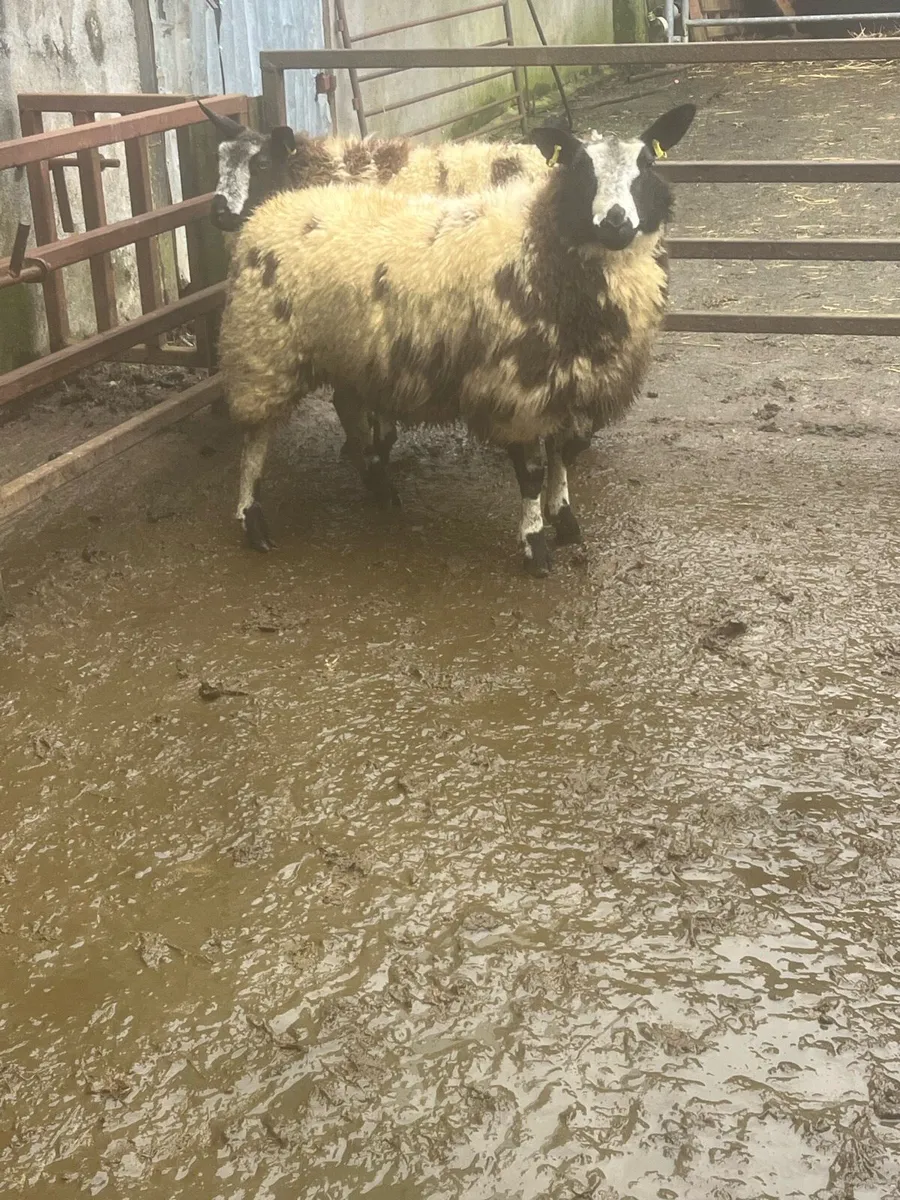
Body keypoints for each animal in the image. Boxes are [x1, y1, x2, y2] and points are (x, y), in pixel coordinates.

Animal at [219, 104, 696, 575]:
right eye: (580, 166)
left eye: (646, 165)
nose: (616, 222)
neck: (539, 241)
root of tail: (272, 209)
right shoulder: (516, 386)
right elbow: (533, 471)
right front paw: (534, 545)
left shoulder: (572, 383)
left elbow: (564, 455)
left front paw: (565, 520)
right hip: (264, 350)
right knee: (254, 441)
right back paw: (252, 519)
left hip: (347, 349)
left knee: (346, 407)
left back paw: (377, 483)